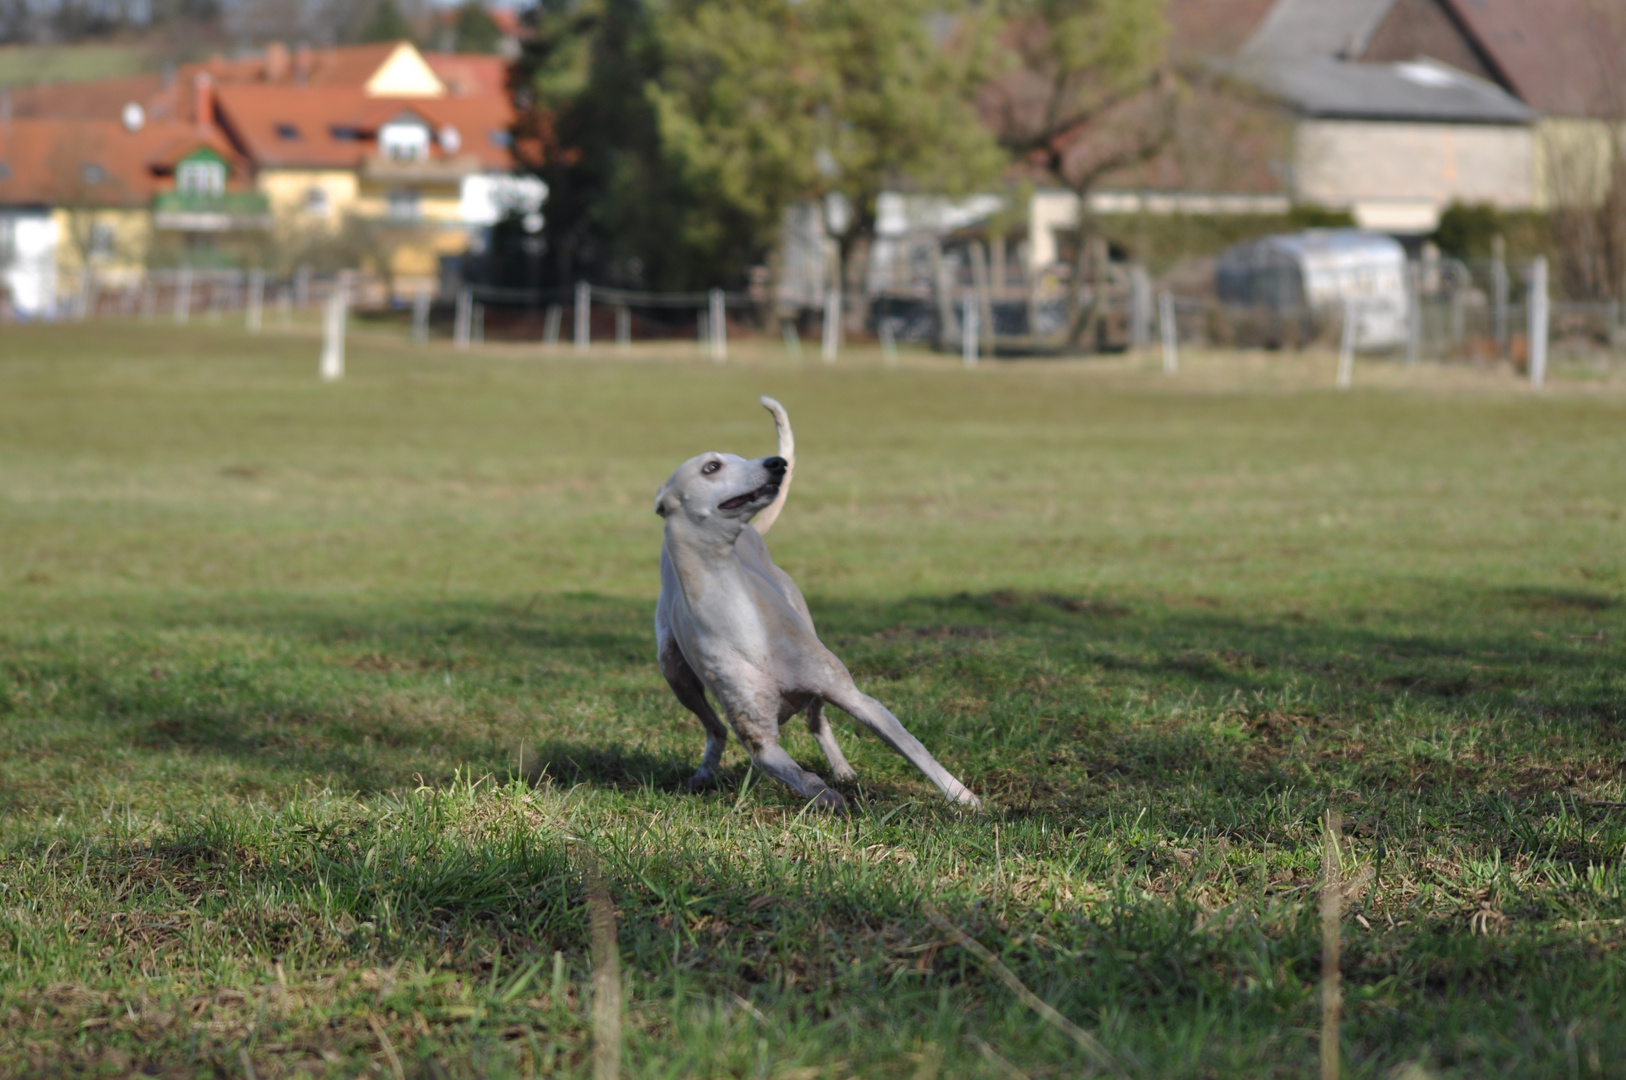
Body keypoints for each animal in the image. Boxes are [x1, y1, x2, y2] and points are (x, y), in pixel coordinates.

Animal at [656, 396, 982, 810]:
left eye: (740, 456)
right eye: (711, 467)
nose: (777, 464)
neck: (742, 620)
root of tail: (755, 535)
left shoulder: (860, 700)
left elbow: (915, 749)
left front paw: (964, 798)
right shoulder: (761, 744)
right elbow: (805, 779)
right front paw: (834, 801)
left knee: (818, 721)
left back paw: (843, 770)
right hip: (674, 671)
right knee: (716, 730)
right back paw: (704, 773)